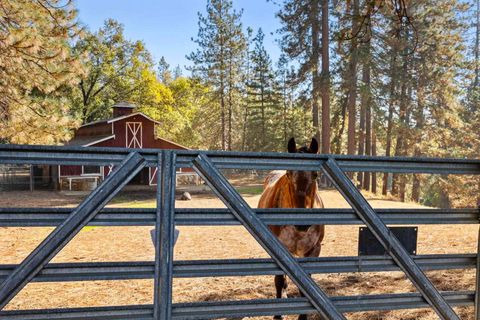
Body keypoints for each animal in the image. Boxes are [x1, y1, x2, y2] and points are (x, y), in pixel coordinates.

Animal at [256, 137, 324, 320]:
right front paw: (278, 315)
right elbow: (279, 280)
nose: (302, 223)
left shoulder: (313, 250)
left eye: (315, 174)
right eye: (288, 173)